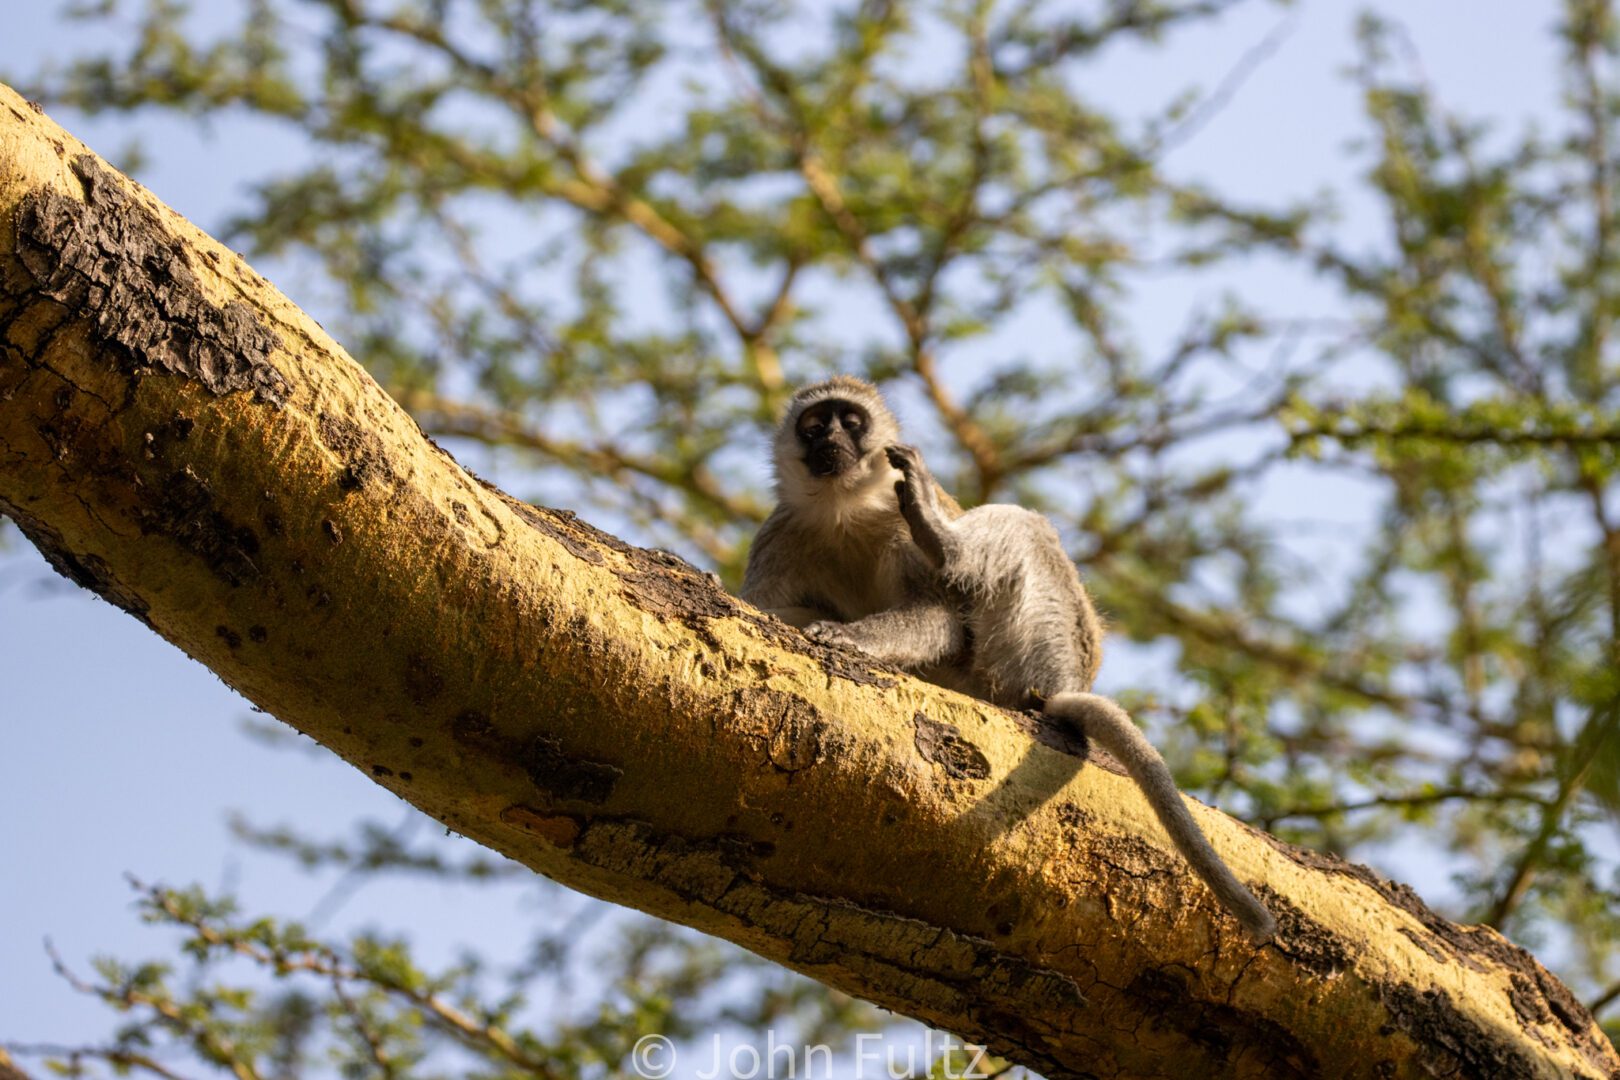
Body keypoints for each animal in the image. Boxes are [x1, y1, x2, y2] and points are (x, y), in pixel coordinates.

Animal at [741, 375, 1276, 939]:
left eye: (851, 421)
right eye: (814, 425)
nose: (830, 441)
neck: (844, 509)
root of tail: (1069, 684)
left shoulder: (891, 524)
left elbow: (943, 618)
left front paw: (851, 636)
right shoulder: (779, 535)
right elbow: (764, 607)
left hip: (1038, 647)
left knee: (1023, 530)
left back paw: (942, 537)